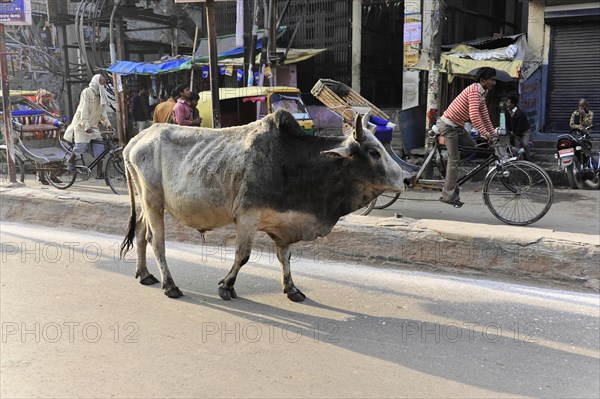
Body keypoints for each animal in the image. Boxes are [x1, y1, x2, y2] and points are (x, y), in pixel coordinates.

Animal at [120, 109, 414, 304]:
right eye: (374, 152)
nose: (407, 178)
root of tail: (135, 140)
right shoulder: (246, 218)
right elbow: (243, 256)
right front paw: (226, 286)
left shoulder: (283, 222)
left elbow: (285, 257)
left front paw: (292, 289)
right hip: (153, 200)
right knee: (156, 240)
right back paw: (169, 285)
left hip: (147, 203)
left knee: (140, 233)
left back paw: (144, 274)